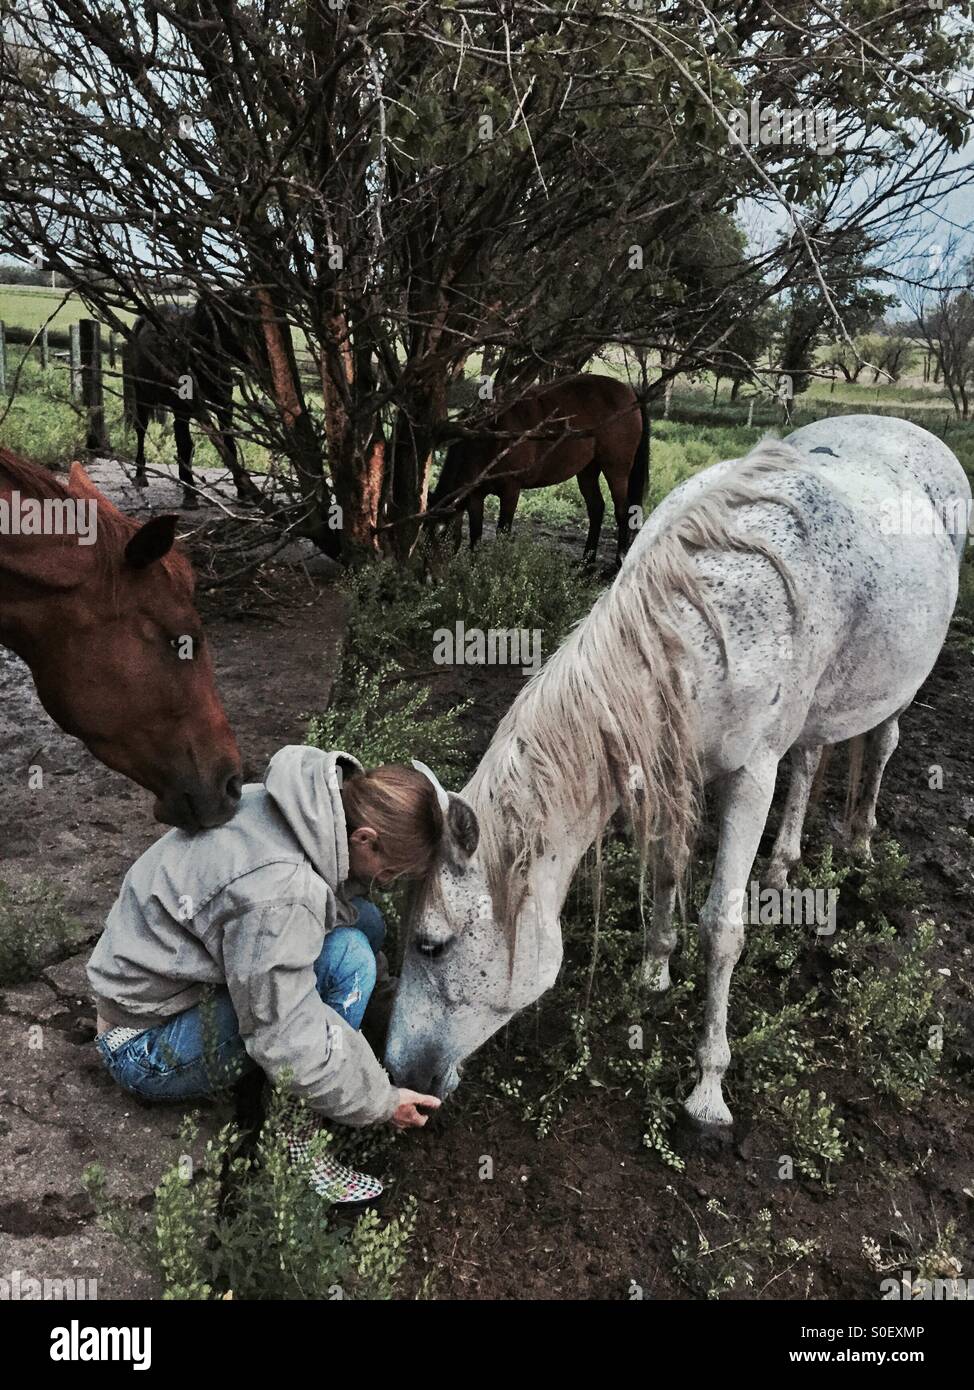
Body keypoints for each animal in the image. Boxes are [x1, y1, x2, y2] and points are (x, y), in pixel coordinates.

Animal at [123, 298, 259, 511]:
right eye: (236, 323)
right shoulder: (182, 410)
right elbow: (185, 445)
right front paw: (190, 494)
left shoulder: (224, 408)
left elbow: (229, 445)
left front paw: (243, 492)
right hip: (143, 397)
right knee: (141, 430)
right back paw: (141, 475)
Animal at [383, 414, 967, 1128]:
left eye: (430, 944)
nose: (397, 1072)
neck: (705, 625)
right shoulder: (671, 769)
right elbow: (667, 869)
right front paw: (654, 973)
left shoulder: (750, 778)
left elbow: (721, 927)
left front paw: (709, 1089)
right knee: (808, 761)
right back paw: (783, 866)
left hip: (897, 691)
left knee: (880, 745)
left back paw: (858, 843)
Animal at [425, 378, 644, 567]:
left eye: (442, 533)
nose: (431, 578)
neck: (488, 438)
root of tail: (629, 393)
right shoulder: (475, 495)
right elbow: (475, 536)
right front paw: (473, 570)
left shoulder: (511, 490)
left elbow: (502, 532)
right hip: (588, 469)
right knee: (596, 508)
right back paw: (586, 562)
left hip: (616, 468)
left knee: (623, 510)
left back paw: (620, 559)